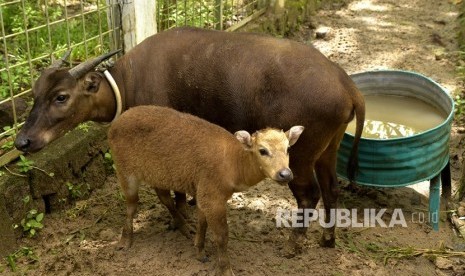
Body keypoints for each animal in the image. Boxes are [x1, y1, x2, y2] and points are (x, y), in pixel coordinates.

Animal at [107, 104, 302, 274]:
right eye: (262, 150)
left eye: (288, 148)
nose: (285, 174)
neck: (233, 164)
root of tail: (115, 124)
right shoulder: (213, 197)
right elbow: (222, 236)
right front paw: (225, 270)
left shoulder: (203, 194)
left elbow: (202, 223)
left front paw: (199, 252)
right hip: (125, 171)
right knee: (132, 205)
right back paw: (125, 242)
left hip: (157, 175)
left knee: (164, 198)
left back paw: (185, 227)